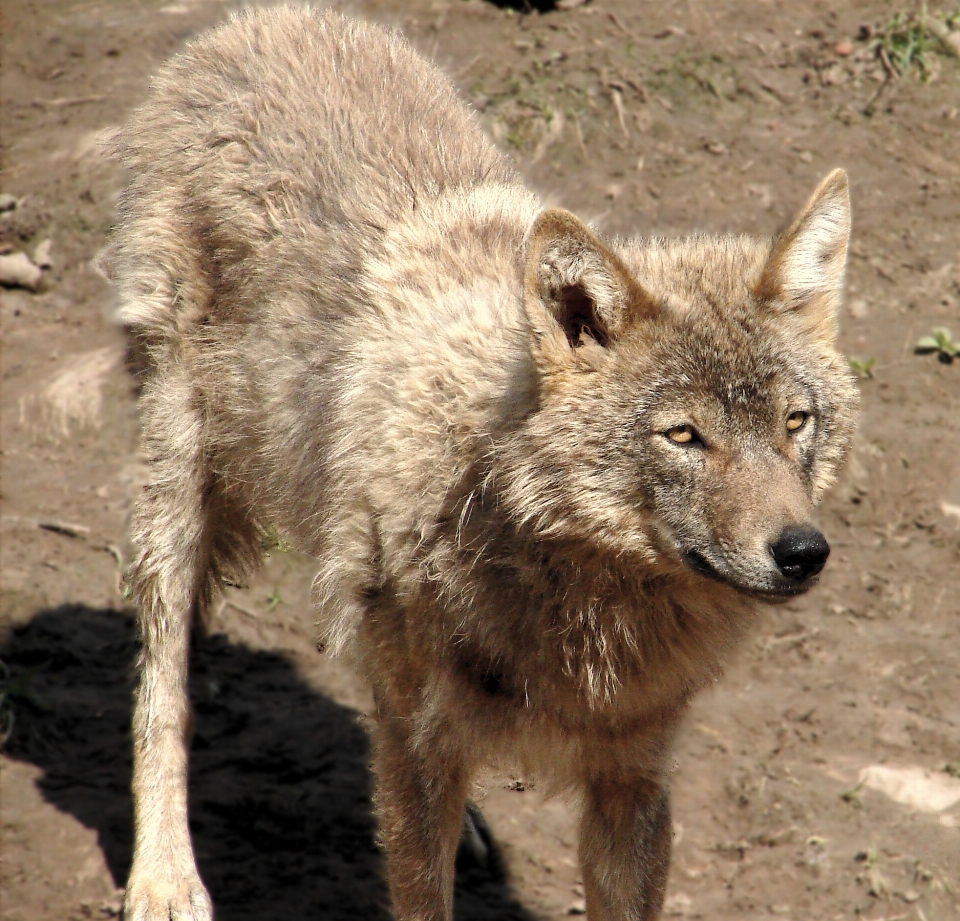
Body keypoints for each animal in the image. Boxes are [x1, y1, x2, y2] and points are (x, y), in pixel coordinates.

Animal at [101, 7, 860, 920]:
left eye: (794, 422)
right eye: (684, 436)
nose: (802, 552)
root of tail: (258, 21)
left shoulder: (633, 780)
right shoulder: (421, 748)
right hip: (175, 500)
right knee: (162, 691)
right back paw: (164, 876)